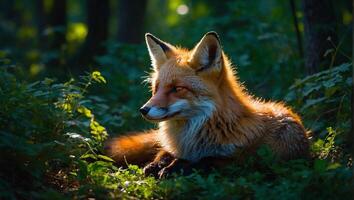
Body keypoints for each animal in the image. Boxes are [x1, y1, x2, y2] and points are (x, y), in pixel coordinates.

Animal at [103, 31, 308, 178]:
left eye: (177, 88)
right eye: (157, 88)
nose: (143, 110)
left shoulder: (245, 161)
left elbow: (206, 161)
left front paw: (174, 168)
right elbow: (163, 153)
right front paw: (157, 165)